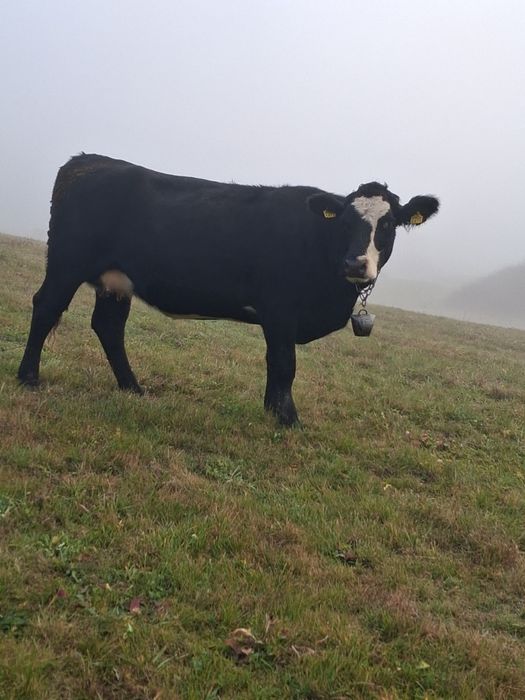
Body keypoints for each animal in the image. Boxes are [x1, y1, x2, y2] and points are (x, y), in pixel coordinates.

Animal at [18, 154, 439, 426]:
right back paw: (28, 378)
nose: (355, 264)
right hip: (66, 262)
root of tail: (88, 160)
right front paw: (288, 419)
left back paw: (133, 388)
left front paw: (272, 410)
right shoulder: (280, 308)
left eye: (388, 224)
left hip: (115, 279)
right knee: (46, 306)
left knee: (108, 326)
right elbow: (284, 364)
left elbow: (274, 363)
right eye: (344, 220)